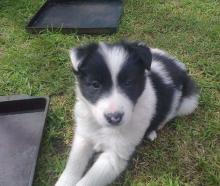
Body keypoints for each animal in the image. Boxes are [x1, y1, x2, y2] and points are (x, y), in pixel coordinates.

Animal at [55, 41, 199, 186]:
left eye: (128, 83)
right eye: (95, 84)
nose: (114, 118)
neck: (104, 128)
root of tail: (177, 64)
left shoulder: (115, 156)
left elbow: (87, 182)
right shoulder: (83, 136)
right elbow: (73, 166)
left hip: (188, 103)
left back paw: (152, 131)